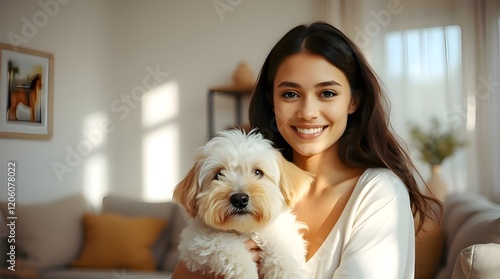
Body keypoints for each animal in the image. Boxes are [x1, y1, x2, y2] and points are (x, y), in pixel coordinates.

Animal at [172, 130, 312, 279]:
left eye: (258, 172)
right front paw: (246, 271)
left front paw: (285, 271)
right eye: (218, 174)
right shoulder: (197, 241)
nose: (239, 199)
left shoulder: (280, 231)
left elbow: (283, 248)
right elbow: (226, 247)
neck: (244, 230)